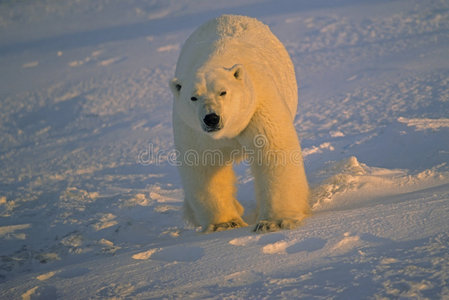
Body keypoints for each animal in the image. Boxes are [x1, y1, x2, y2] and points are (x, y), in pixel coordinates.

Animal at [168, 15, 308, 233]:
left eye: (223, 92)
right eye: (193, 97)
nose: (211, 118)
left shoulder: (257, 106)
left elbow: (273, 153)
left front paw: (273, 222)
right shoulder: (194, 131)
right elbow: (203, 165)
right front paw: (225, 223)